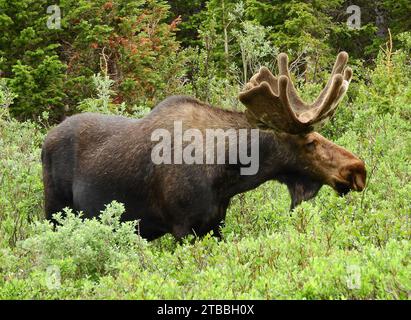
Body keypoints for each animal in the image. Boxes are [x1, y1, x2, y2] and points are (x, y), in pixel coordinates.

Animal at [41, 52, 366, 240]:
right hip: (54, 212)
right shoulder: (183, 227)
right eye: (310, 142)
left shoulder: (216, 222)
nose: (358, 168)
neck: (229, 175)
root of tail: (45, 141)